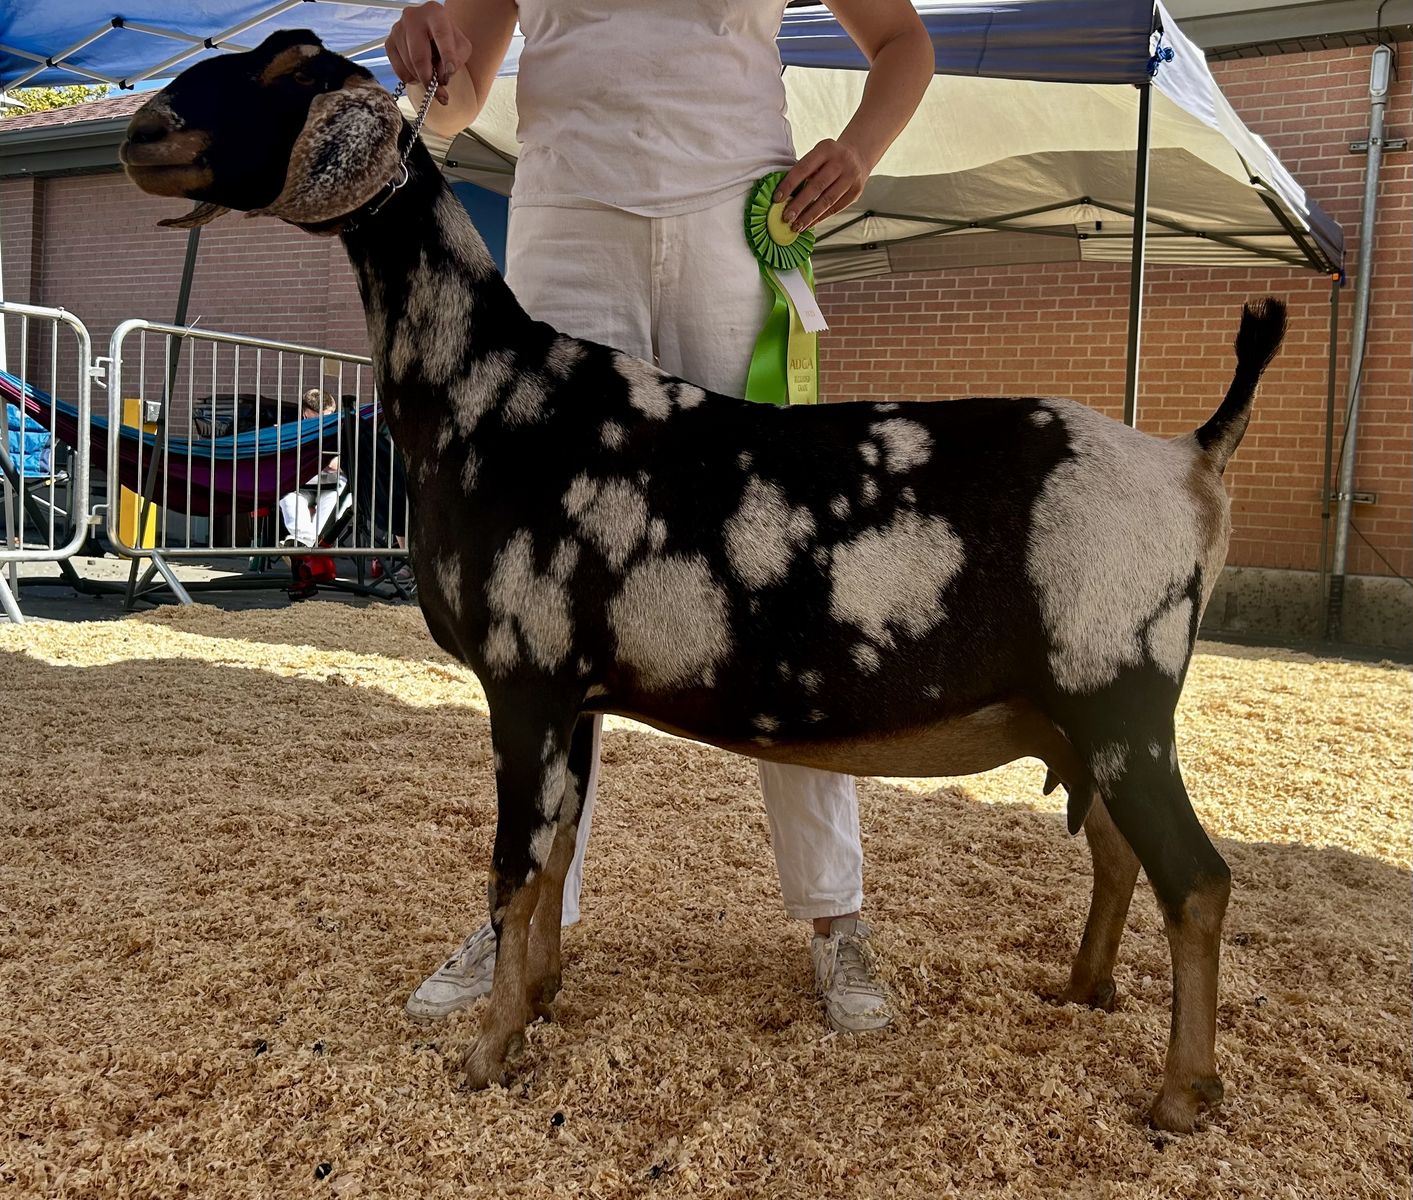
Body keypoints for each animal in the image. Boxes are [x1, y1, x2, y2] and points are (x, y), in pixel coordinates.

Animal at [121, 30, 1287, 1132]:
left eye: (284, 68)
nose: (141, 131)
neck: (489, 393)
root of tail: (1191, 457)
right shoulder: (577, 696)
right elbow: (555, 860)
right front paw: (537, 1000)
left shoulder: (526, 680)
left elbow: (512, 871)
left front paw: (487, 1056)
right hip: (1082, 719)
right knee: (1118, 853)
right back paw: (1082, 990)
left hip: (1119, 696)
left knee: (1197, 879)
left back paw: (1181, 1095)